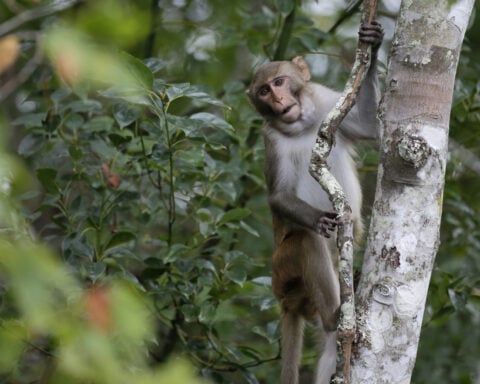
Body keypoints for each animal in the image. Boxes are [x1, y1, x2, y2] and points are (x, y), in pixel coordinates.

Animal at [248, 21, 382, 384]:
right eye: (263, 91)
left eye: (280, 82)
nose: (279, 99)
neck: (301, 124)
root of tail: (285, 301)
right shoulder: (271, 139)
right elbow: (279, 196)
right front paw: (320, 219)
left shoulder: (324, 100)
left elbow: (370, 126)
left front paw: (373, 44)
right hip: (284, 271)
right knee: (308, 241)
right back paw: (335, 316)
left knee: (330, 347)